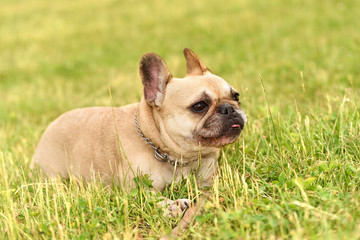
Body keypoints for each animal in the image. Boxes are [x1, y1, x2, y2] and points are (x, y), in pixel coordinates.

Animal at [31, 48, 246, 234]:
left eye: (236, 96)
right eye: (199, 106)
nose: (229, 108)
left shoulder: (207, 180)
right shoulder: (135, 189)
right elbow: (151, 197)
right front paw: (172, 205)